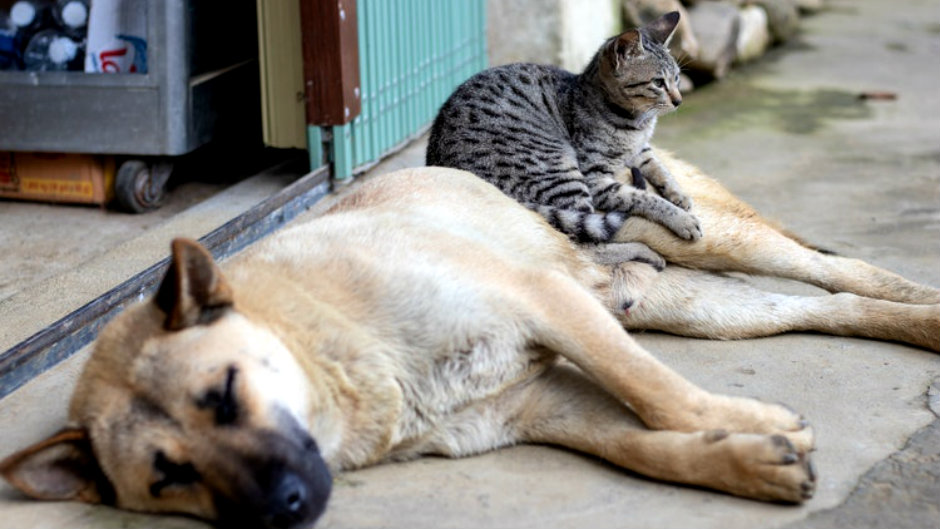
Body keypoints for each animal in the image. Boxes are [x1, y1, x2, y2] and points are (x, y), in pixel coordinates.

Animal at [1, 151, 940, 524]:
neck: (334, 348)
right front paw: (745, 456)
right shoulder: (541, 403)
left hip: (706, 240)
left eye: (224, 393)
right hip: (682, 302)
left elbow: (656, 392)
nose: (284, 509)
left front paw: (750, 424)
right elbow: (643, 443)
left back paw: (923, 306)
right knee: (824, 306)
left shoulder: (544, 303)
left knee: (840, 270)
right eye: (169, 476)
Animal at [426, 11, 696, 243]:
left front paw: (680, 195)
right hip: (561, 170)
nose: (679, 100)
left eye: (677, 78)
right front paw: (681, 218)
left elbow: (660, 168)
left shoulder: (641, 149)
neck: (638, 123)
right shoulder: (595, 177)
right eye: (658, 83)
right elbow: (643, 198)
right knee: (589, 236)